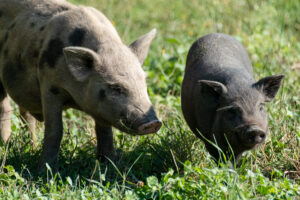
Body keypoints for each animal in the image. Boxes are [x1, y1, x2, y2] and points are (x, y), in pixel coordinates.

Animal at [0, 0, 162, 170]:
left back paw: (32, 147)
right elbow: (55, 130)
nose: (153, 123)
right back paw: (5, 145)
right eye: (115, 88)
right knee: (5, 109)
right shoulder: (50, 87)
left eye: (144, 84)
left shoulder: (101, 109)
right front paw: (45, 170)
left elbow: (105, 132)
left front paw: (110, 163)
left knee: (25, 115)